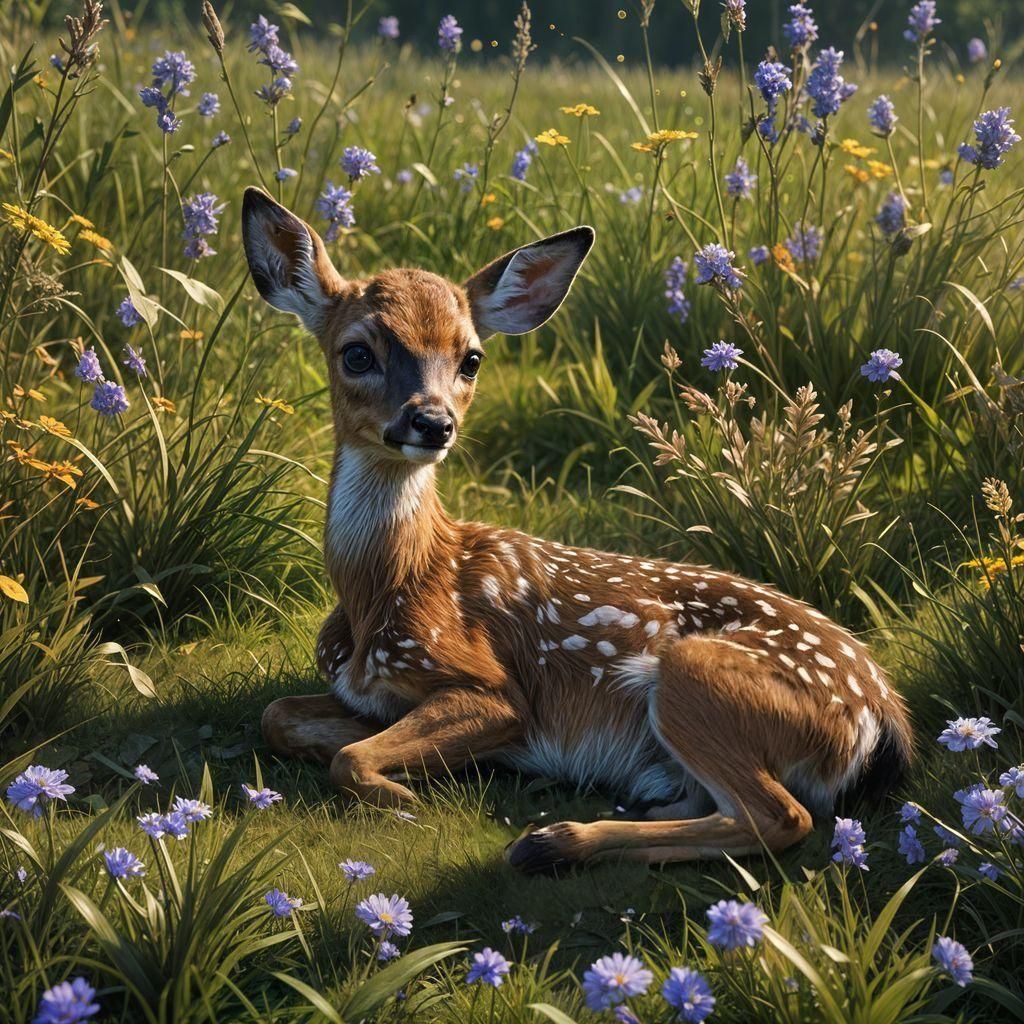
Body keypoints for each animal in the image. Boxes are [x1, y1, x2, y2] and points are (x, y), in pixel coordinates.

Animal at [241, 186, 913, 872]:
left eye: (471, 359)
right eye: (356, 353)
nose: (432, 422)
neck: (389, 587)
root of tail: (885, 718)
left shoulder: (494, 690)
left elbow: (352, 756)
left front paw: (404, 795)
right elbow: (278, 714)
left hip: (694, 676)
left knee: (781, 815)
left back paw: (551, 841)